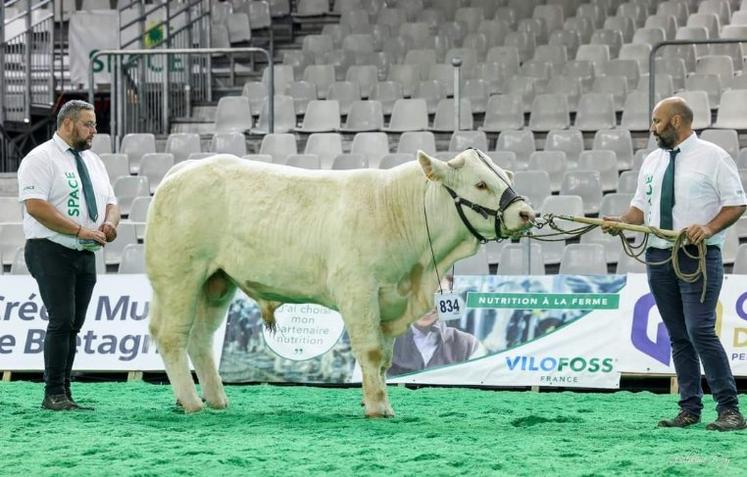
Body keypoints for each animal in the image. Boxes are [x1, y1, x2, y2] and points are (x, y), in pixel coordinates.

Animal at [143, 149, 536, 416]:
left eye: (506, 179)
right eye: (481, 183)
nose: (526, 212)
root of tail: (184, 168)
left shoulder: (389, 298)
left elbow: (385, 358)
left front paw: (379, 401)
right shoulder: (358, 290)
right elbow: (372, 351)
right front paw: (377, 409)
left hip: (217, 281)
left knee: (201, 339)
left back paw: (217, 400)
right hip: (179, 276)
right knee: (172, 335)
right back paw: (192, 403)